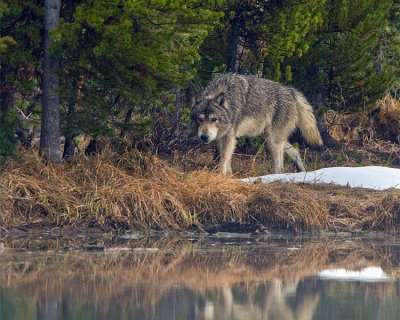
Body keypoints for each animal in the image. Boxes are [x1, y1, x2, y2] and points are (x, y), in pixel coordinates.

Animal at [192, 73, 324, 175]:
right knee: (296, 151)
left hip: (272, 142)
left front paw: (221, 175)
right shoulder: (220, 138)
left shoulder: (230, 137)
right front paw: (228, 175)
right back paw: (303, 173)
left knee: (280, 167)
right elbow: (225, 159)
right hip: (271, 138)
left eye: (214, 119)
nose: (204, 137)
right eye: (200, 119)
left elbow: (224, 159)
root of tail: (291, 92)